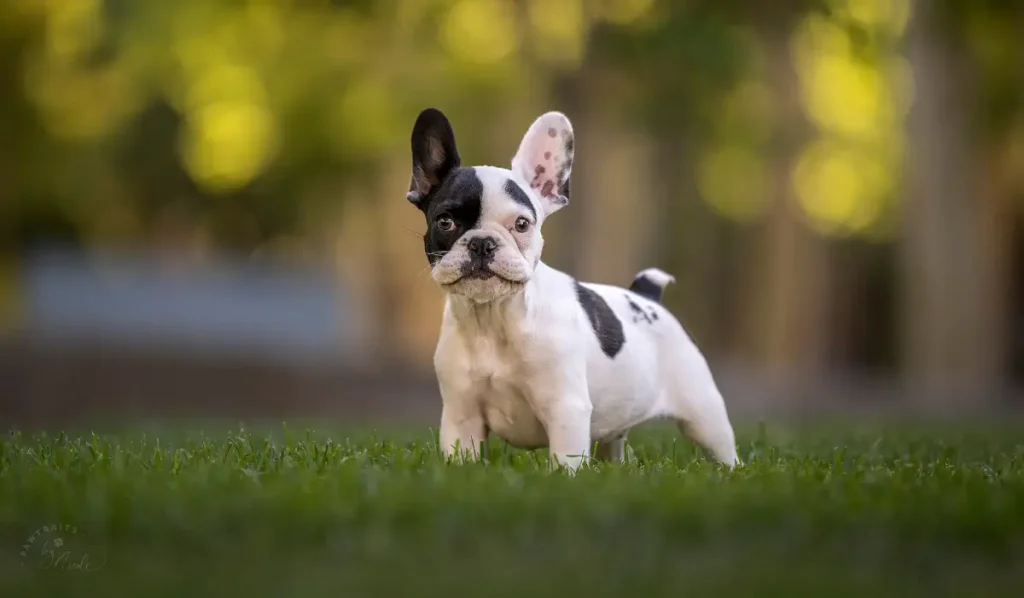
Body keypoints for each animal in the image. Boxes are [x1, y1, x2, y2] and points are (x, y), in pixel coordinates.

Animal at [405, 107, 737, 471]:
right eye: (445, 222)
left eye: (522, 224)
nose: (482, 243)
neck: (494, 318)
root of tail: (647, 296)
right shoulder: (461, 416)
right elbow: (462, 456)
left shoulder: (565, 408)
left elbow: (565, 463)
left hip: (704, 414)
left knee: (723, 448)